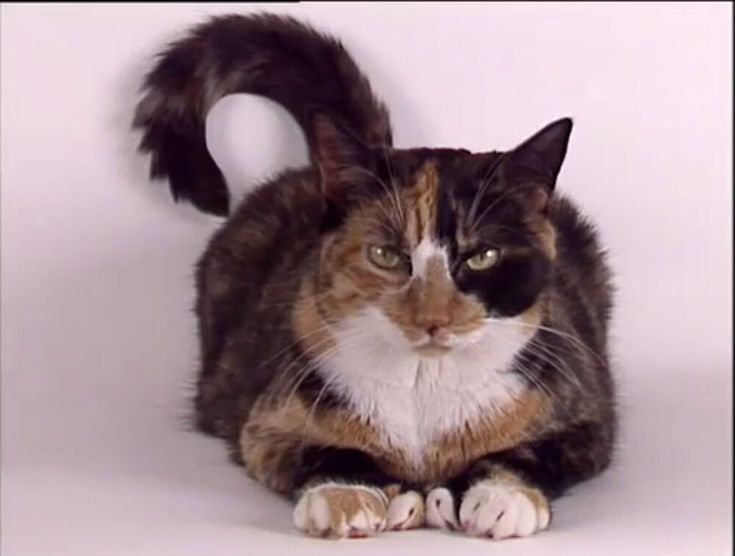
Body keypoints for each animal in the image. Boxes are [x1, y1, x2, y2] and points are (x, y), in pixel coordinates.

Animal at [131, 14, 616, 540]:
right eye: (386, 255)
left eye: (483, 256)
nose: (432, 318)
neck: (424, 391)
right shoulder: (267, 421)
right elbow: (320, 453)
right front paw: (349, 497)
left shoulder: (586, 414)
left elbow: (528, 454)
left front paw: (496, 498)